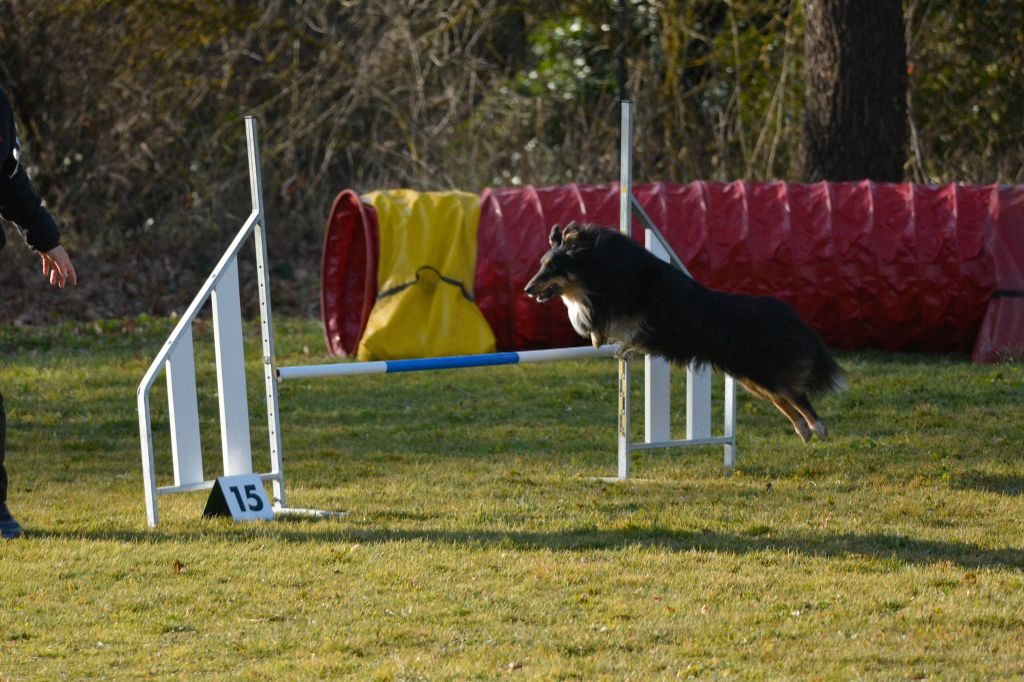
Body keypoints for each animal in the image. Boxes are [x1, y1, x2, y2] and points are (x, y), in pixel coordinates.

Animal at [524, 222, 843, 440]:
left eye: (551, 266)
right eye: (541, 264)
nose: (527, 289)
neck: (597, 267)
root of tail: (790, 316)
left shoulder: (621, 300)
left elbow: (596, 317)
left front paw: (596, 334)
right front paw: (596, 337)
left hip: (762, 371)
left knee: (796, 395)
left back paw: (818, 427)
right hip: (751, 378)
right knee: (784, 399)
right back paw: (803, 429)